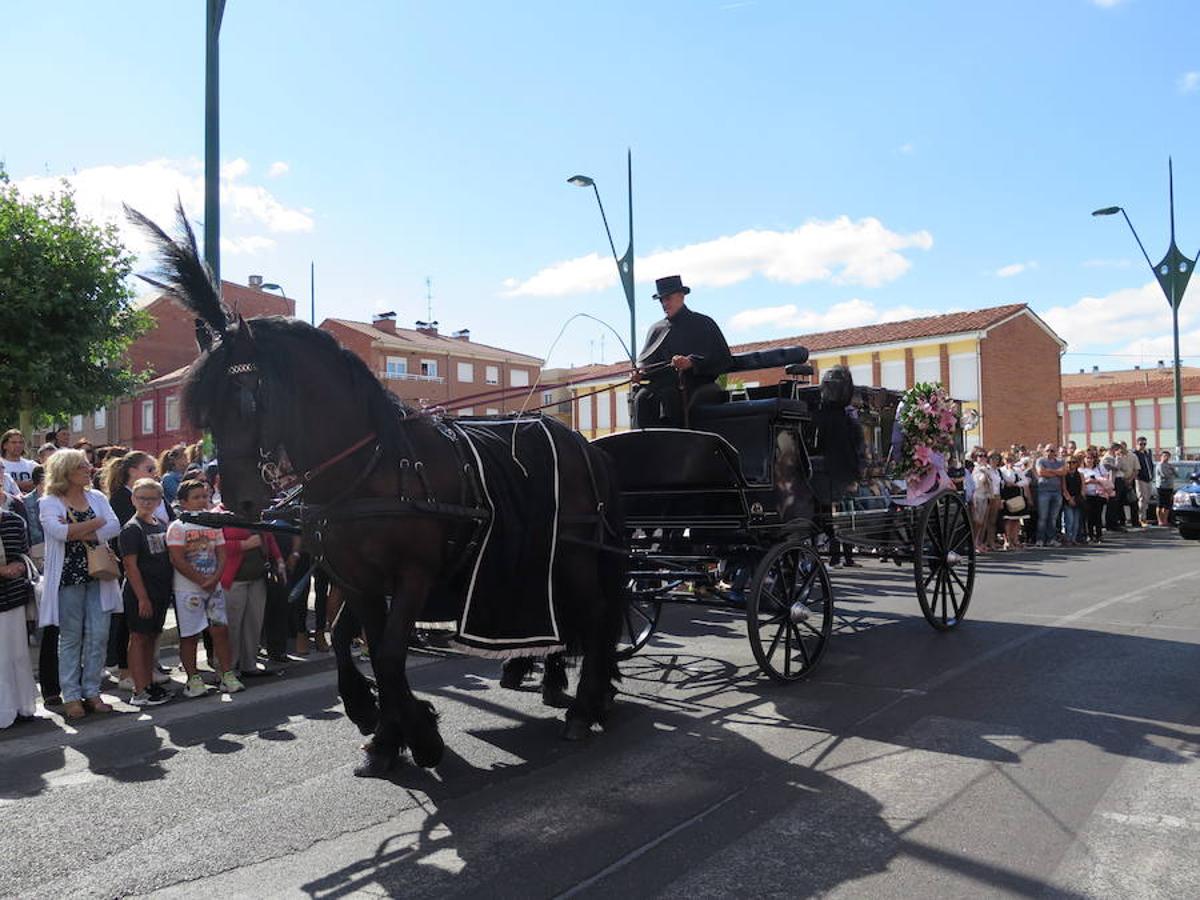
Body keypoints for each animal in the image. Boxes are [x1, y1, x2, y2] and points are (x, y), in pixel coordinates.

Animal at [133, 204, 628, 777]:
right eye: (204, 412)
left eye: (246, 400)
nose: (242, 502)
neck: (367, 467)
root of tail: (587, 446)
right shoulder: (357, 578)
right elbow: (359, 645)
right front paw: (386, 732)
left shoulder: (412, 575)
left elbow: (389, 654)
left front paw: (419, 734)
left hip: (573, 554)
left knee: (596, 615)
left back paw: (585, 705)